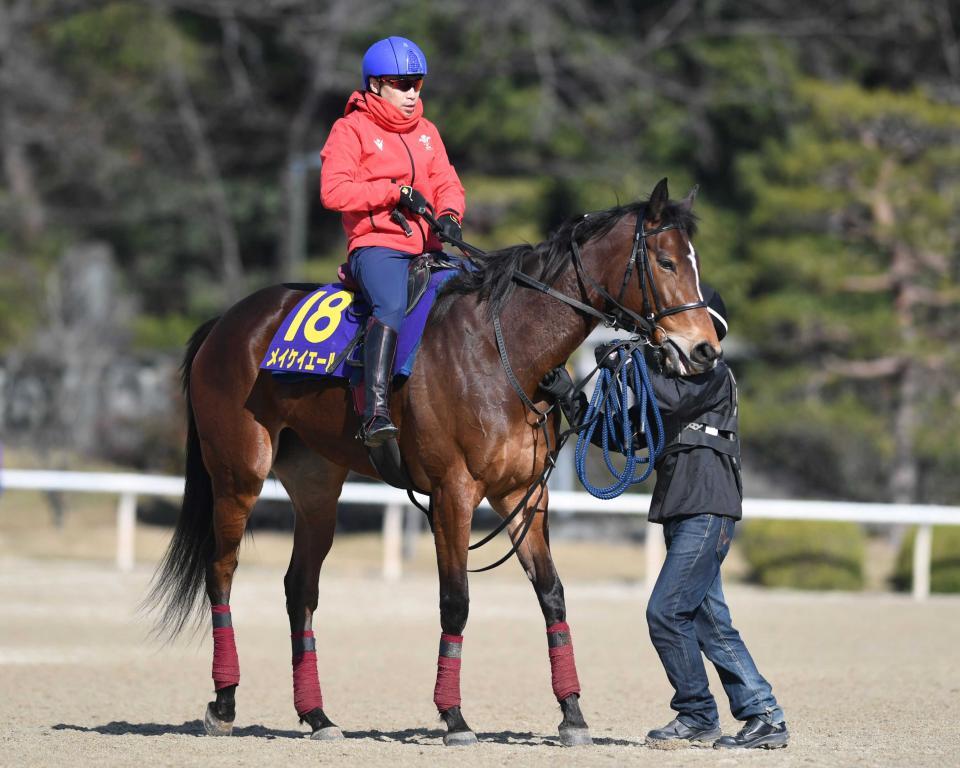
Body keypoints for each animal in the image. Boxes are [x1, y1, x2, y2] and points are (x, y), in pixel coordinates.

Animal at [148, 178, 720, 744]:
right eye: (667, 262)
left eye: (694, 262)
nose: (705, 350)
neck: (501, 349)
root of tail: (226, 321)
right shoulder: (452, 495)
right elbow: (456, 600)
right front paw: (454, 716)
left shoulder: (523, 496)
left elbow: (551, 594)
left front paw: (572, 713)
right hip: (238, 477)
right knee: (221, 573)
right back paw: (224, 702)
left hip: (317, 492)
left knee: (300, 590)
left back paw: (317, 716)